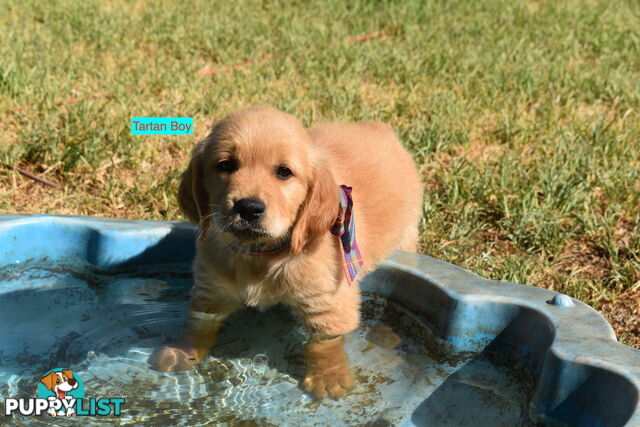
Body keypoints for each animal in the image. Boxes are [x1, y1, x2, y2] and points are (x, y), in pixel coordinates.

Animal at [148, 105, 422, 400]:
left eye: (284, 172)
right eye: (226, 165)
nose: (248, 208)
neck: (260, 254)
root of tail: (377, 127)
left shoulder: (329, 302)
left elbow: (323, 343)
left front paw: (328, 377)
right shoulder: (212, 291)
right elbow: (199, 323)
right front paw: (180, 351)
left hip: (406, 235)